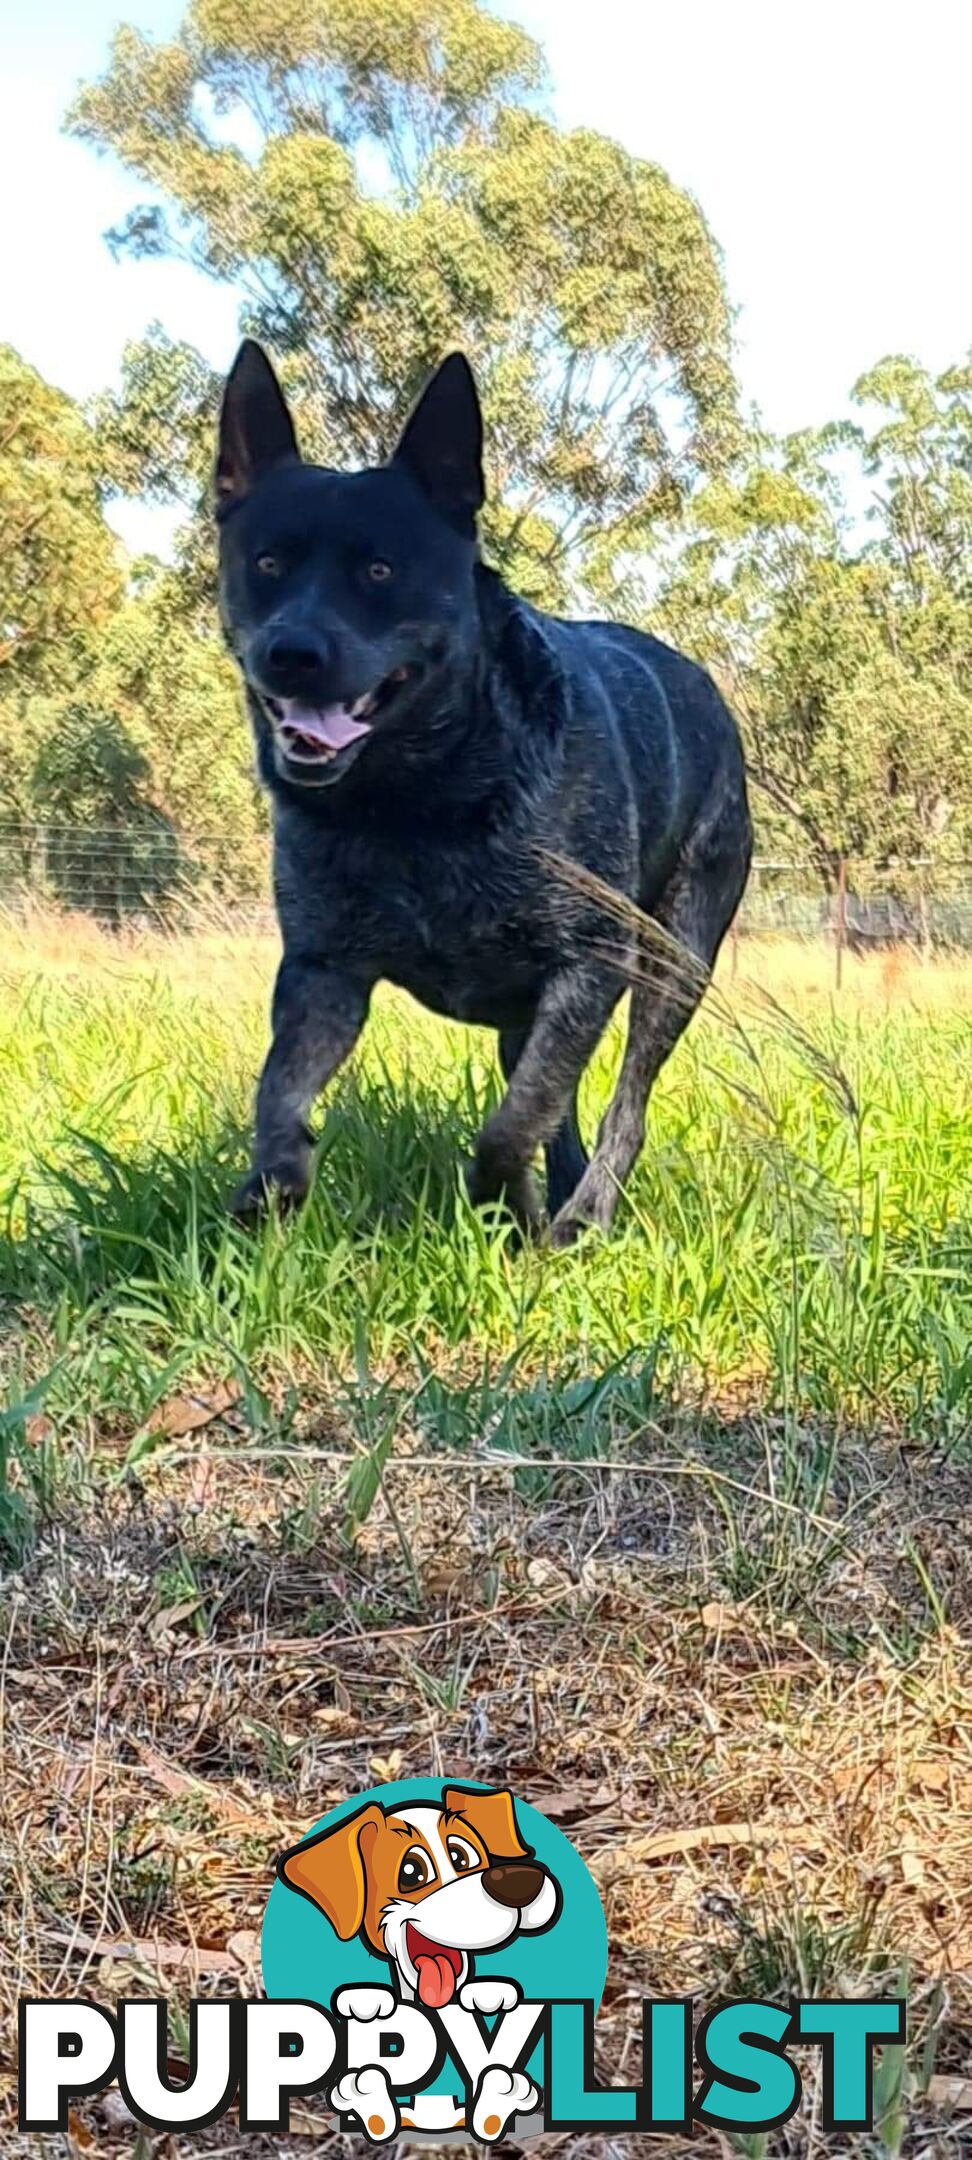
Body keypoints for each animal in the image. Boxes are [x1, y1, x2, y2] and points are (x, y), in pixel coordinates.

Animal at [218, 343, 751, 1244]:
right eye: (265, 565)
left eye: (379, 569)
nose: (290, 652)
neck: (416, 807)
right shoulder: (323, 970)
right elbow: (277, 1100)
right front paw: (273, 1189)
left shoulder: (586, 967)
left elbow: (510, 1126)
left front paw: (512, 1206)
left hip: (675, 961)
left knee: (624, 1106)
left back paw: (582, 1215)